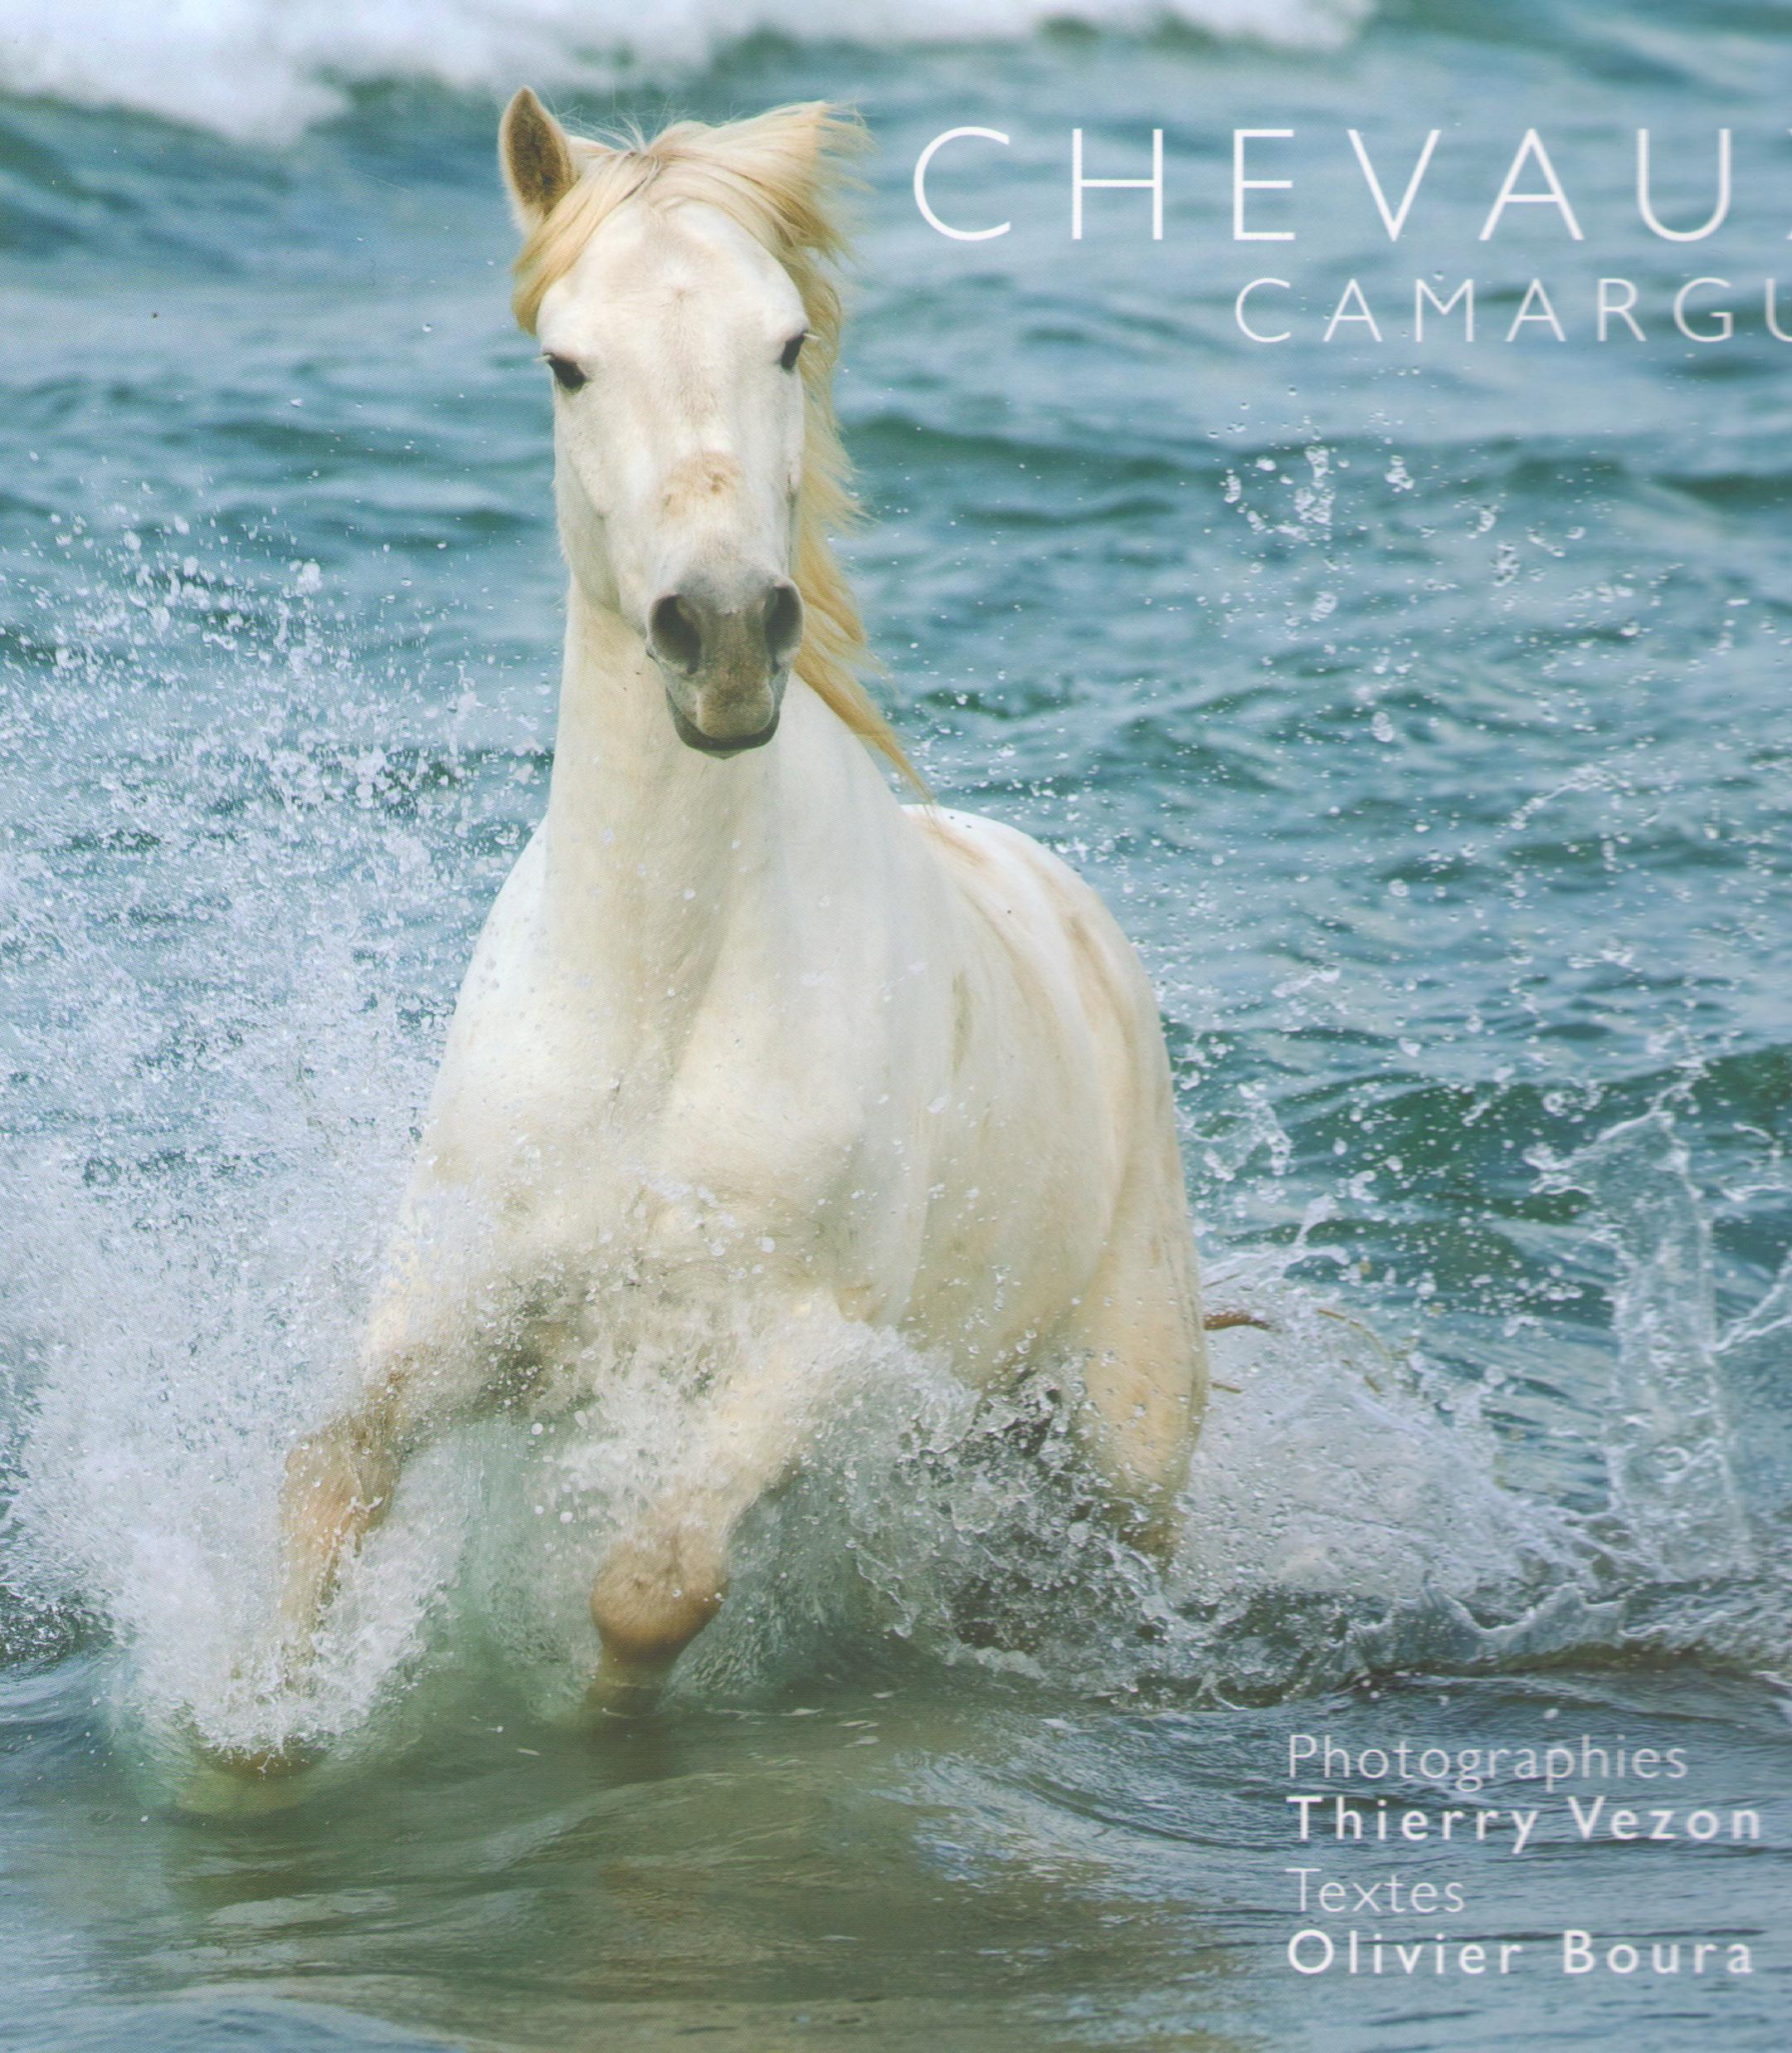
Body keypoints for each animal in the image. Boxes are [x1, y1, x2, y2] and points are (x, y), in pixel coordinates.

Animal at [276, 94, 1212, 1705]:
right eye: (566, 362)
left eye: (787, 340)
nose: (720, 632)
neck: (657, 1004)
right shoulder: (461, 1303)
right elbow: (323, 1474)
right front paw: (247, 1729)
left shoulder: (811, 1348)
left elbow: (655, 1583)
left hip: (1128, 1428)